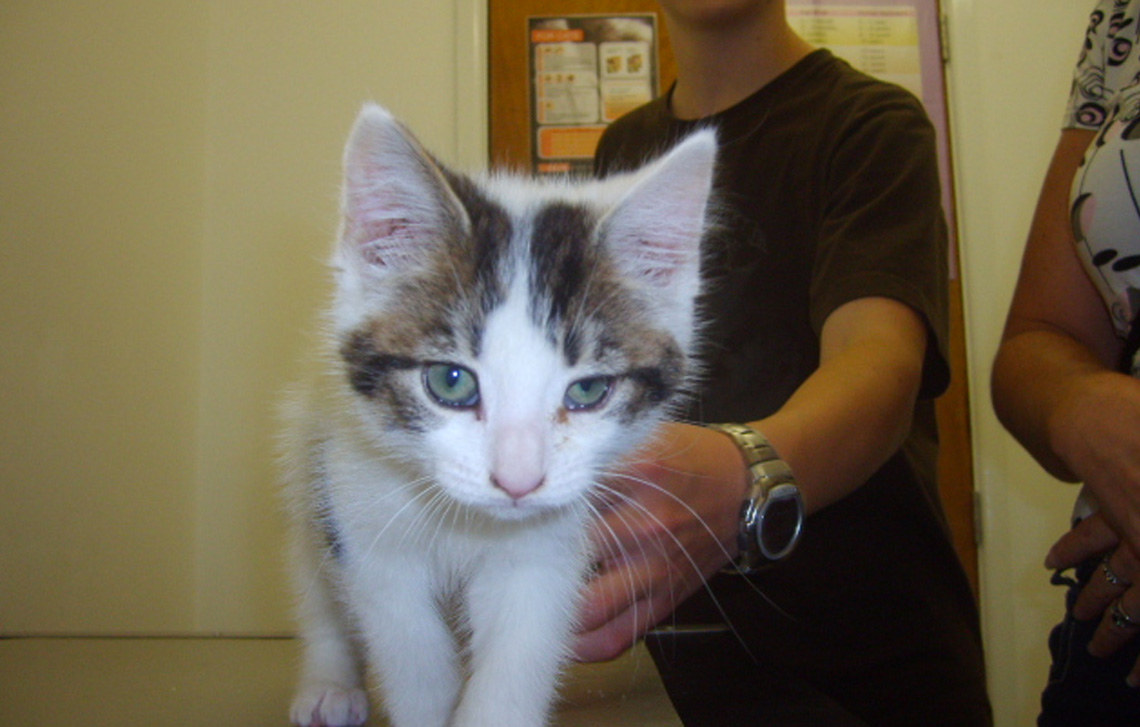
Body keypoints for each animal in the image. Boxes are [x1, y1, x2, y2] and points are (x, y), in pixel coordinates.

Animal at [282, 103, 711, 727]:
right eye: (450, 381)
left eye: (588, 390)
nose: (518, 481)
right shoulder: (365, 522)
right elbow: (409, 652)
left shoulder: (544, 553)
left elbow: (517, 657)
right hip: (306, 442)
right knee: (309, 563)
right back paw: (329, 680)